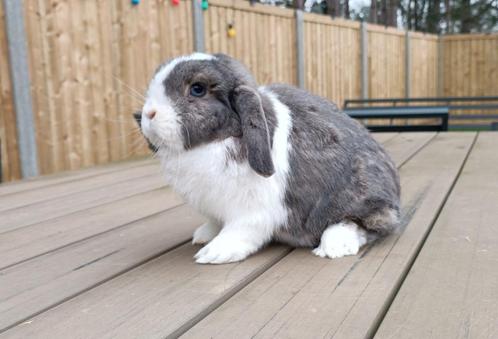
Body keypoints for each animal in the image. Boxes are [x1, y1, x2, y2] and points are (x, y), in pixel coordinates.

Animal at [137, 53, 400, 266]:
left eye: (197, 89)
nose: (147, 114)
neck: (214, 143)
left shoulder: (252, 210)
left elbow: (240, 230)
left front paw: (214, 253)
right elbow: (216, 222)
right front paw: (203, 236)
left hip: (360, 196)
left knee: (366, 223)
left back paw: (334, 245)